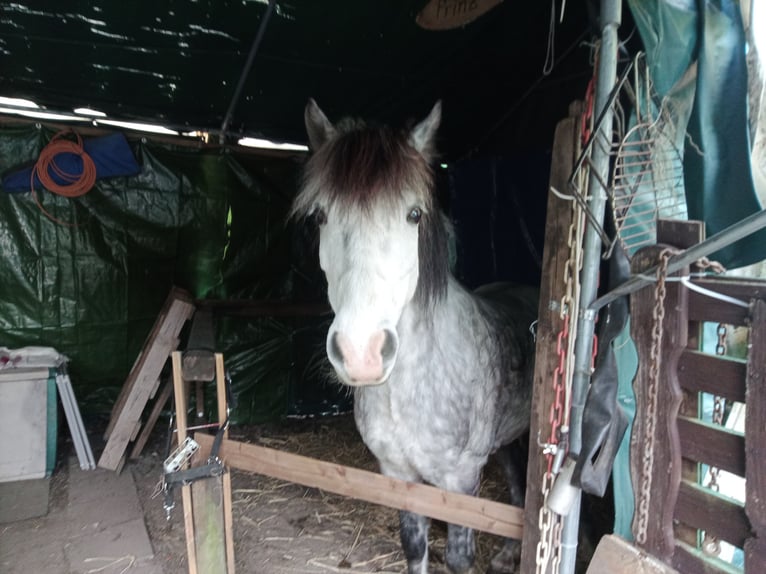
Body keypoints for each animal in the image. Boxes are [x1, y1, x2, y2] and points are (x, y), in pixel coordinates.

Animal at [292, 101, 536, 572]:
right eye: (320, 216)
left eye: (414, 215)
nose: (361, 353)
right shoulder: (398, 474)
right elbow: (414, 547)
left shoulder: (460, 480)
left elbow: (459, 558)